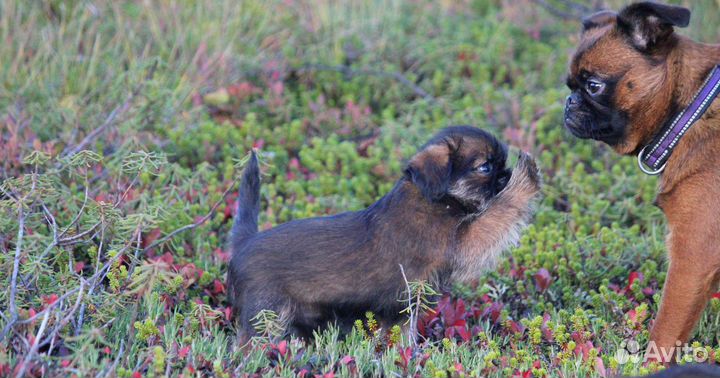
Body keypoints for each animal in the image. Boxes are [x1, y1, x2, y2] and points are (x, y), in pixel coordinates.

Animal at [228, 125, 536, 338]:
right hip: (265, 315)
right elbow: (499, 212)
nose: (506, 175)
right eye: (485, 167)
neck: (429, 196)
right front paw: (526, 177)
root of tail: (245, 242)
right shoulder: (467, 242)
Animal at [564, 1, 720, 362]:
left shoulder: (691, 261)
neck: (687, 111)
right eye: (570, 86)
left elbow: (663, 334)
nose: (569, 103)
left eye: (593, 86)